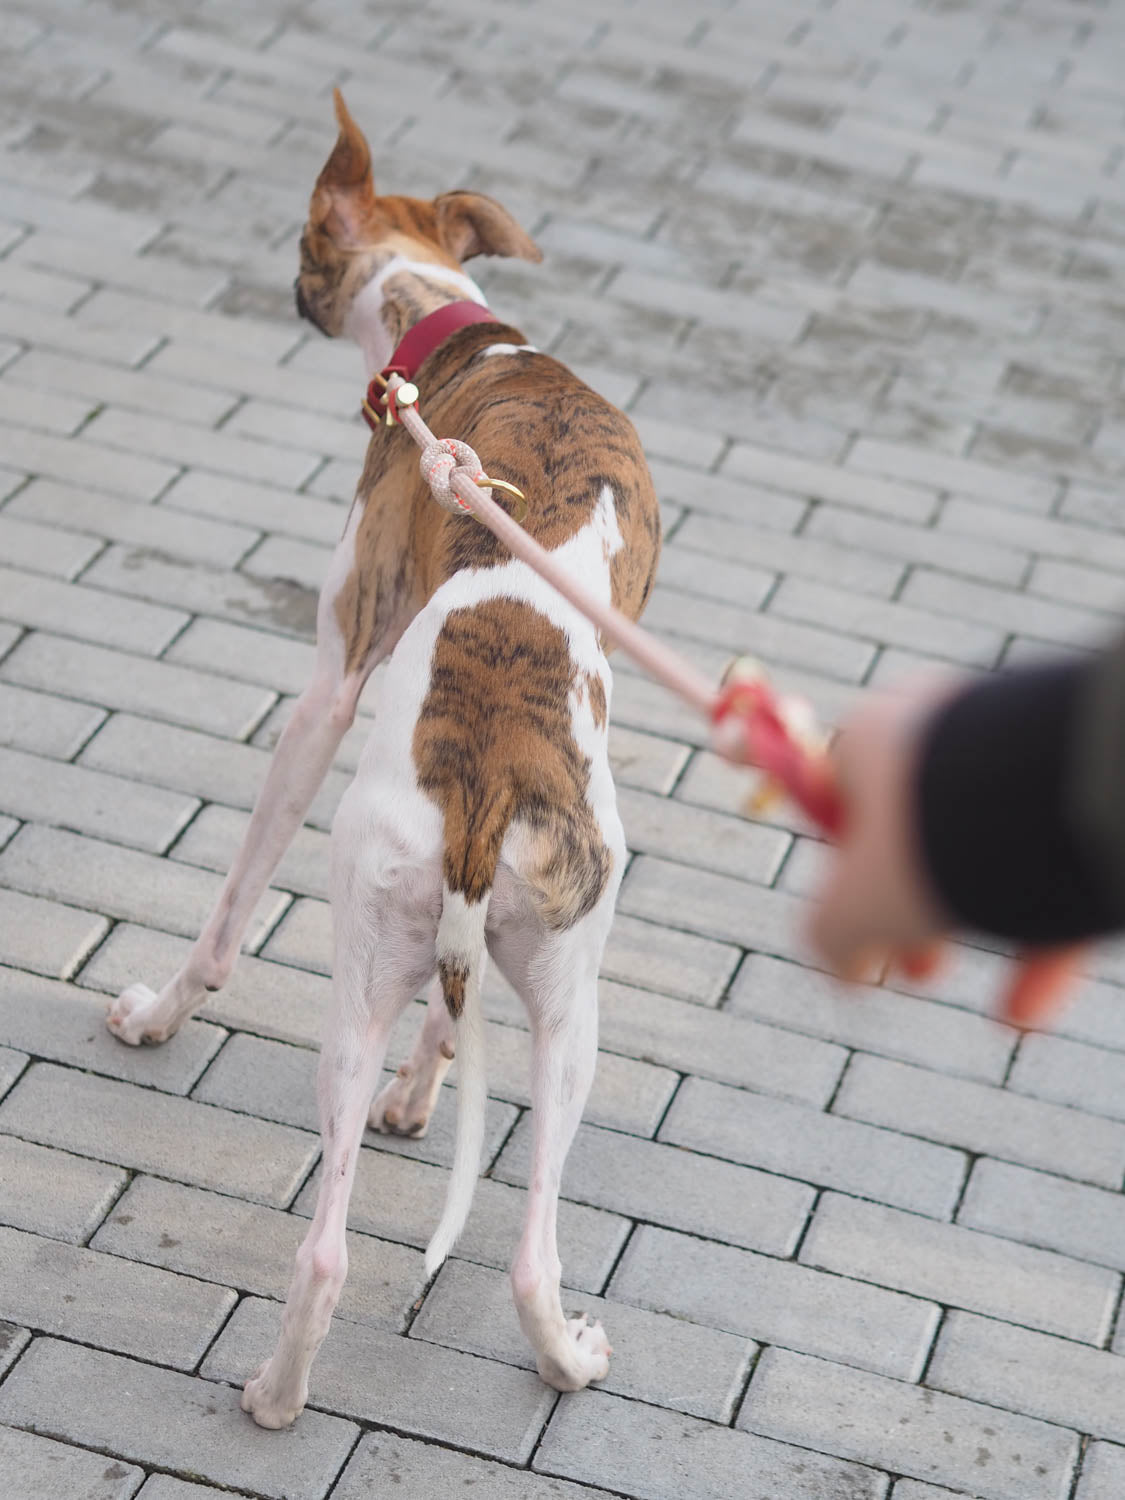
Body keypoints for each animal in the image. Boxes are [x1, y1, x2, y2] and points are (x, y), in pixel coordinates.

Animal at [105, 93, 660, 1428]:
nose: (288, 289)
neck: (458, 340)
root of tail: (489, 792)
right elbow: (454, 1025)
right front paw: (421, 1094)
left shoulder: (328, 682)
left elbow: (228, 914)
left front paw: (157, 1014)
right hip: (561, 1004)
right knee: (513, 1250)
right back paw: (555, 1358)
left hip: (366, 947)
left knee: (334, 1245)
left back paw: (274, 1396)